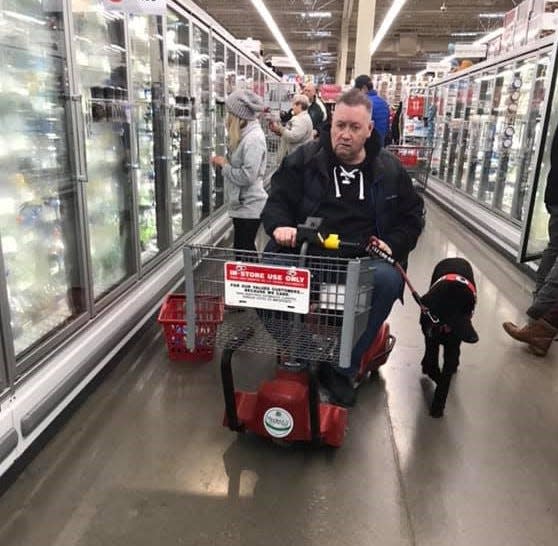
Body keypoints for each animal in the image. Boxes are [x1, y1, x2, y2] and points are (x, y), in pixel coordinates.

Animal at [422, 258, 480, 414]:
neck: (441, 323)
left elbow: (446, 376)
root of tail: (456, 258)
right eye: (457, 311)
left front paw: (438, 404)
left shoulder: (452, 346)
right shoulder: (430, 338)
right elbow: (432, 362)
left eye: (471, 311)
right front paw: (432, 372)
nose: (475, 338)